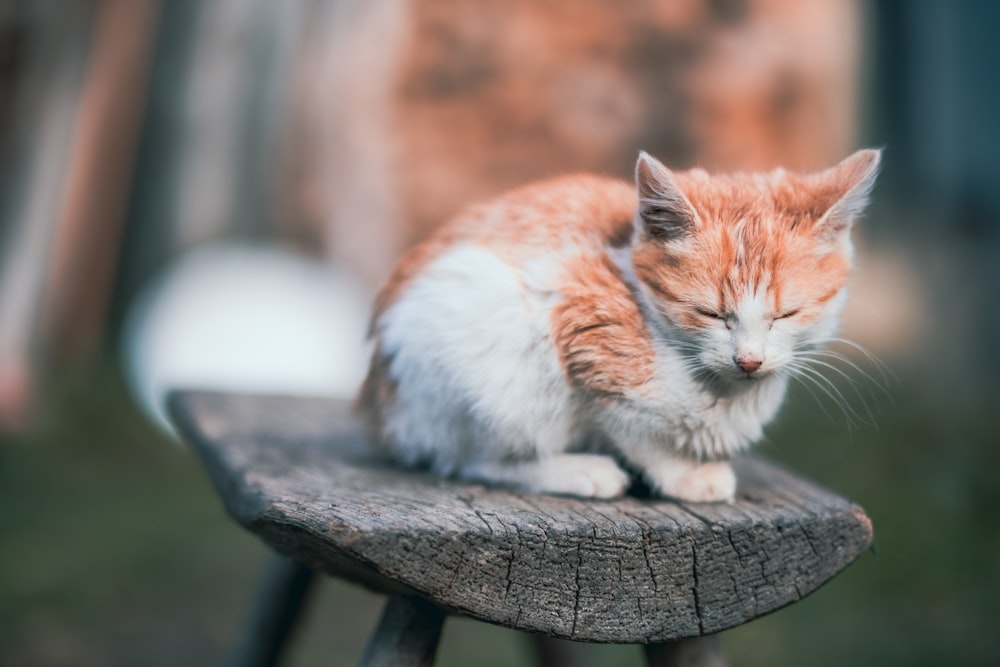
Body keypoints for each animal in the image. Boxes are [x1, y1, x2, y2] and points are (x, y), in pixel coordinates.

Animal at [360, 149, 884, 504]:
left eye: (786, 315)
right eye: (711, 314)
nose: (749, 360)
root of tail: (380, 411)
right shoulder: (578, 322)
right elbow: (633, 429)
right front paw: (684, 474)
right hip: (480, 344)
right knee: (472, 458)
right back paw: (578, 471)